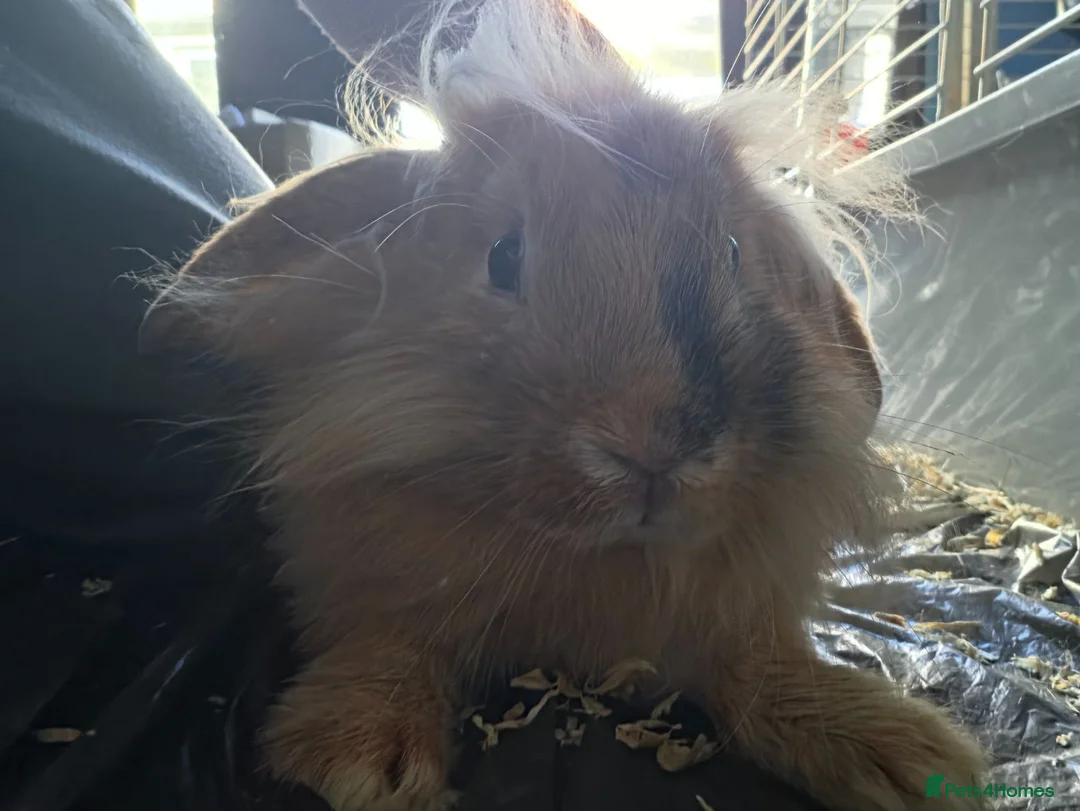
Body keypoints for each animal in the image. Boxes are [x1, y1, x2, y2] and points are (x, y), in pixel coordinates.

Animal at [144, 1, 988, 809]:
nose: (653, 448)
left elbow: (757, 665)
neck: (593, 556)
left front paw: (905, 756)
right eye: (502, 257)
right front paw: (359, 759)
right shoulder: (360, 574)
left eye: (733, 255)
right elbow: (388, 639)